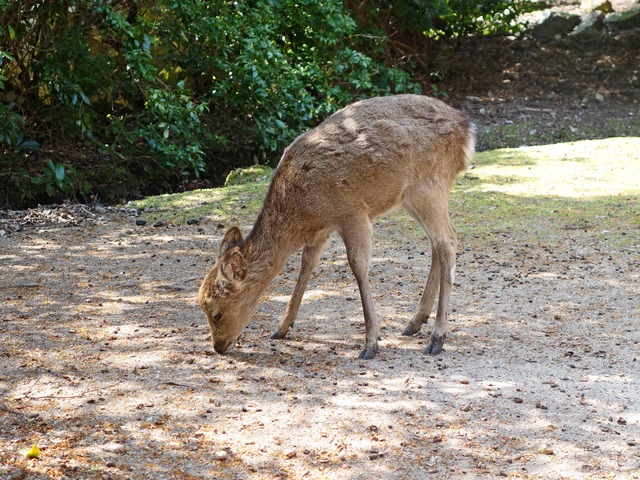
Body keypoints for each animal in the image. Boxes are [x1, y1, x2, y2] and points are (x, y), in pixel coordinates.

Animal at [198, 94, 472, 358]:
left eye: (217, 313)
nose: (218, 347)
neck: (301, 217)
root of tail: (467, 130)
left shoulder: (352, 213)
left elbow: (358, 266)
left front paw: (371, 343)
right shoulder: (322, 231)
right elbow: (306, 264)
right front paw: (282, 328)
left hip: (428, 184)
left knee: (448, 241)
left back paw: (436, 338)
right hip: (412, 197)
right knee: (438, 243)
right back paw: (415, 322)